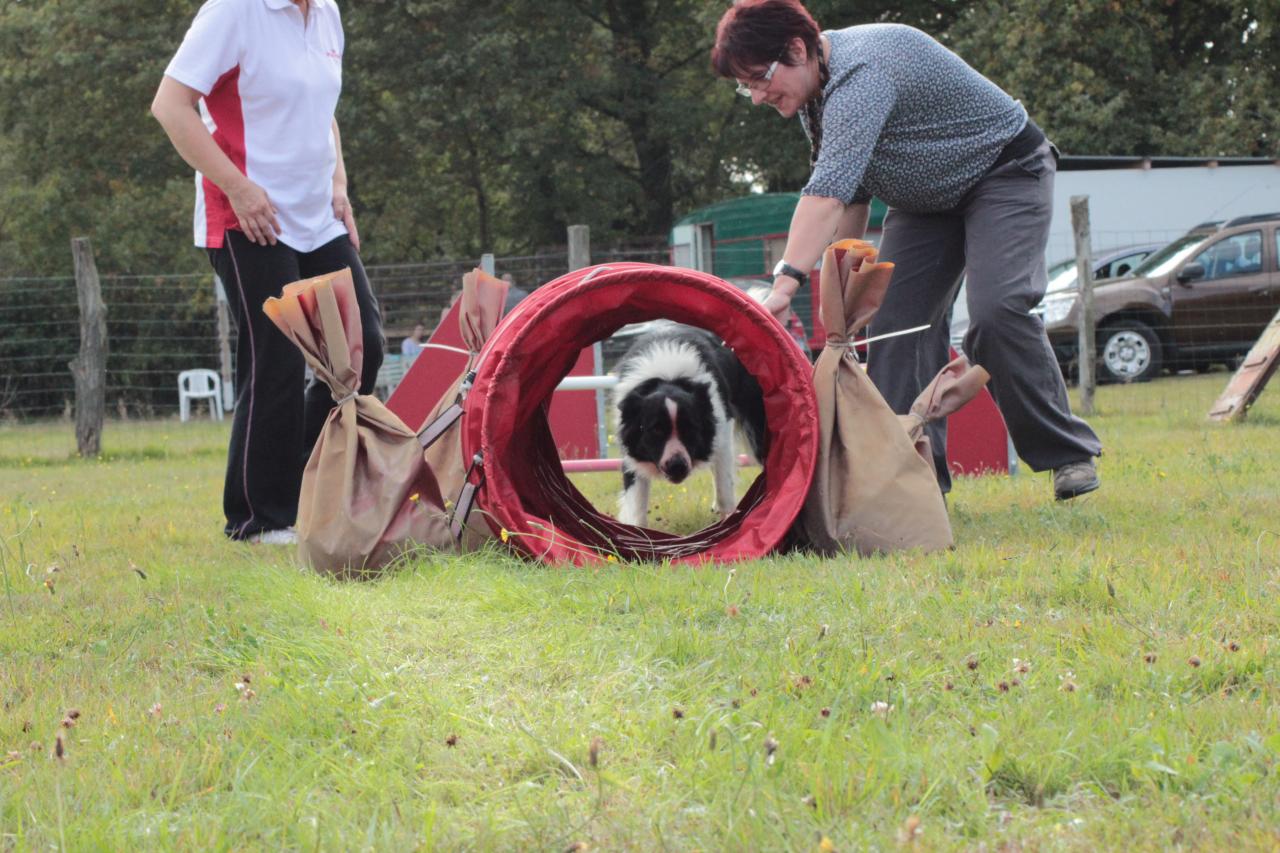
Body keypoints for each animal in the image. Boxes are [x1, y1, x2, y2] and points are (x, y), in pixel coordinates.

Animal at [609, 320, 757, 525]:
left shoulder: (722, 430)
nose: (677, 466)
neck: (668, 376)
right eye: (655, 430)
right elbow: (636, 503)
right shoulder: (632, 448)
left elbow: (724, 486)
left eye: (691, 428)